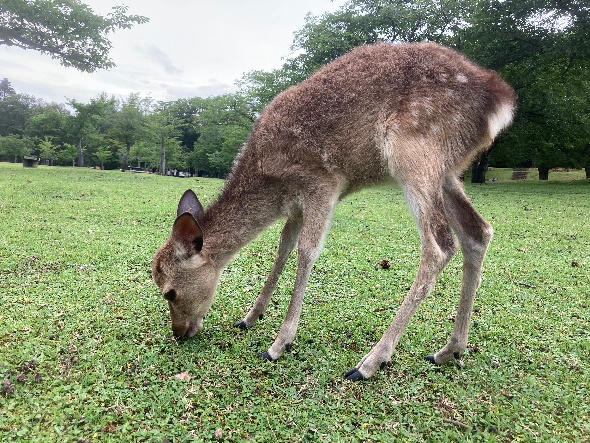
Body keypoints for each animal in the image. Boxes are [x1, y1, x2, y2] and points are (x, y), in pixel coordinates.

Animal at [153, 41, 520, 382]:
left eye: (169, 291)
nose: (179, 333)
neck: (272, 185)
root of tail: (501, 102)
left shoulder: (323, 184)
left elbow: (306, 252)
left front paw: (278, 344)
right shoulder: (295, 207)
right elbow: (282, 250)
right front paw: (249, 317)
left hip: (414, 151)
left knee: (440, 245)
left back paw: (370, 362)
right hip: (448, 172)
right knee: (478, 232)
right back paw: (449, 350)